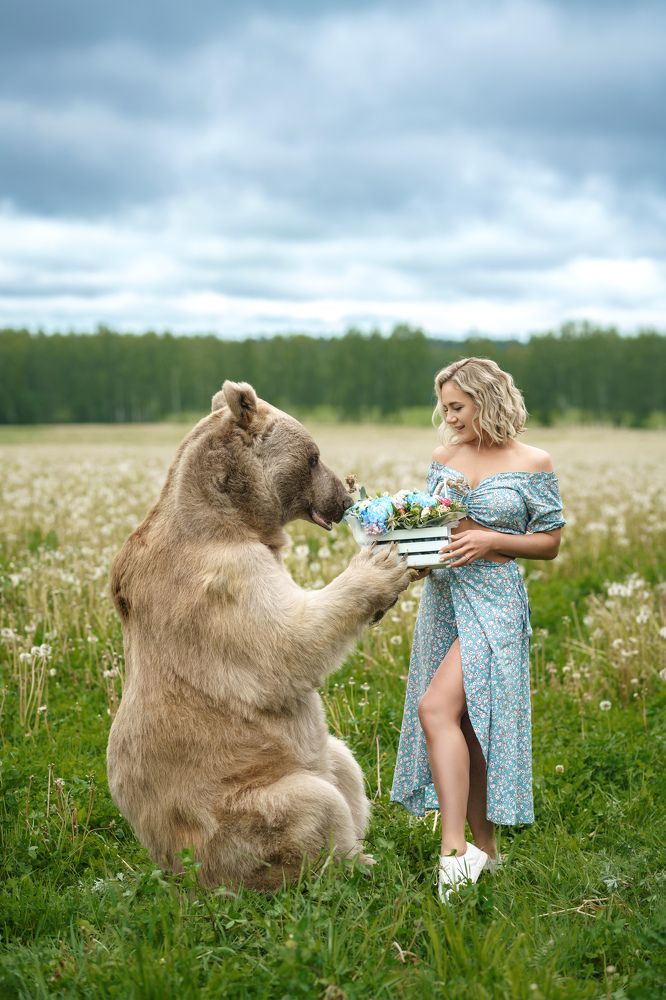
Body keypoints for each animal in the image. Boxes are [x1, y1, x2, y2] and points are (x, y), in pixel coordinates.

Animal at [107, 380, 413, 891]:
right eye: (313, 456)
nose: (343, 499)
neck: (231, 515)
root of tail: (175, 868)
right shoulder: (221, 583)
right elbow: (285, 643)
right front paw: (381, 563)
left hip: (313, 761)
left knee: (344, 764)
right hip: (234, 815)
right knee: (312, 805)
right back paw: (352, 862)